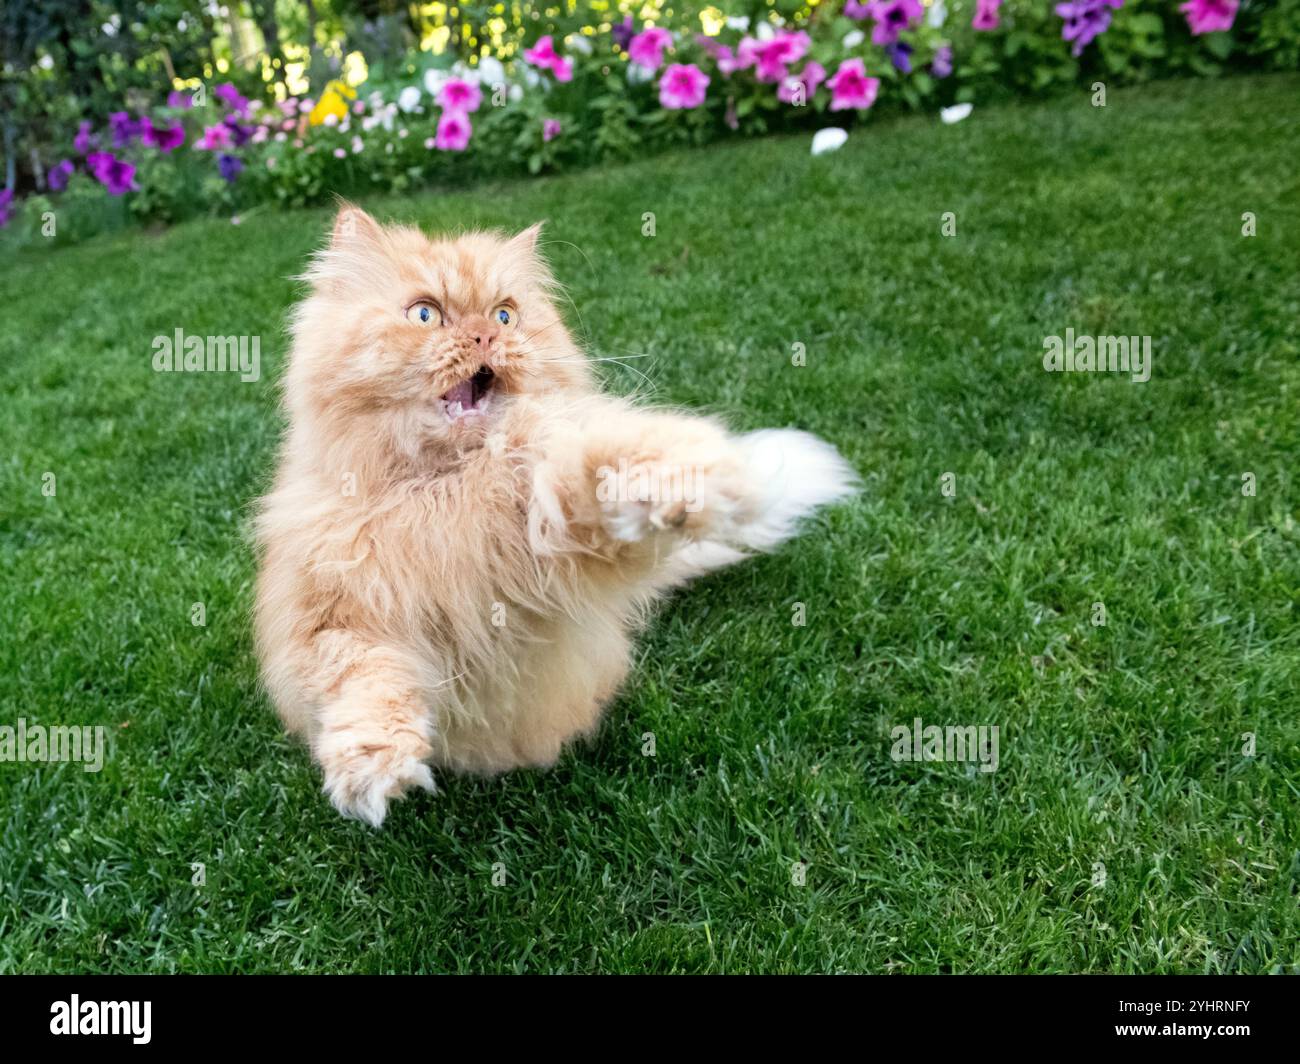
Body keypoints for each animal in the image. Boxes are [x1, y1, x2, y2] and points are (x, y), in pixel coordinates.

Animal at [254, 202, 857, 827]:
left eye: (505, 314)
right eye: (425, 314)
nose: (485, 333)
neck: (451, 487)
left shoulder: (555, 523)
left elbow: (596, 470)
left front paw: (691, 483)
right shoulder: (331, 618)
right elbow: (364, 683)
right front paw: (372, 768)